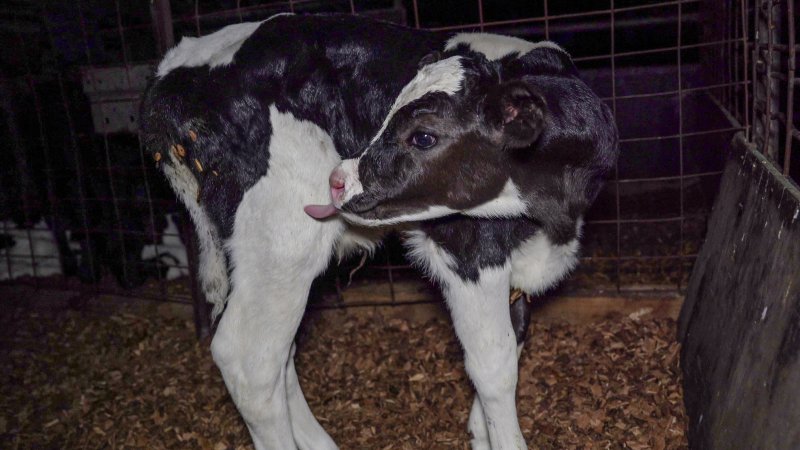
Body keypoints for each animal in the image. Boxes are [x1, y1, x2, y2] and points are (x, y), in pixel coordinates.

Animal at [140, 13, 618, 450]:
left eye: (423, 136)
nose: (337, 179)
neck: (554, 217)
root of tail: (173, 68)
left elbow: (513, 342)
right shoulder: (469, 252)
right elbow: (494, 366)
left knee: (281, 353)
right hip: (282, 238)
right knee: (248, 358)